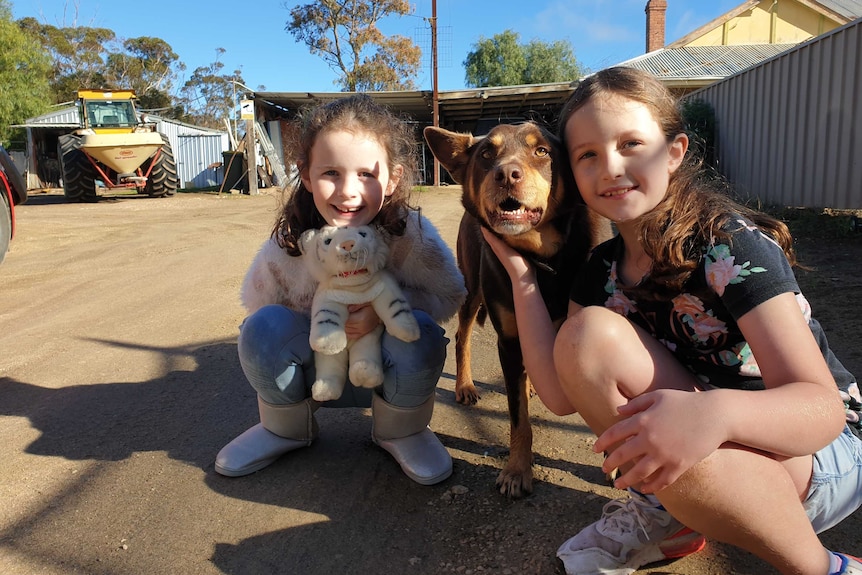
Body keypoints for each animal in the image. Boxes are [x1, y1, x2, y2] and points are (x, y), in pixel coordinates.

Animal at [424, 122, 612, 500]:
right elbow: (518, 419)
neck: (542, 258)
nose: (506, 174)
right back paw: (465, 386)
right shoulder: (509, 341)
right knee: (462, 335)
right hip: (472, 288)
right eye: (486, 153)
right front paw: (516, 471)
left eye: (541, 151)